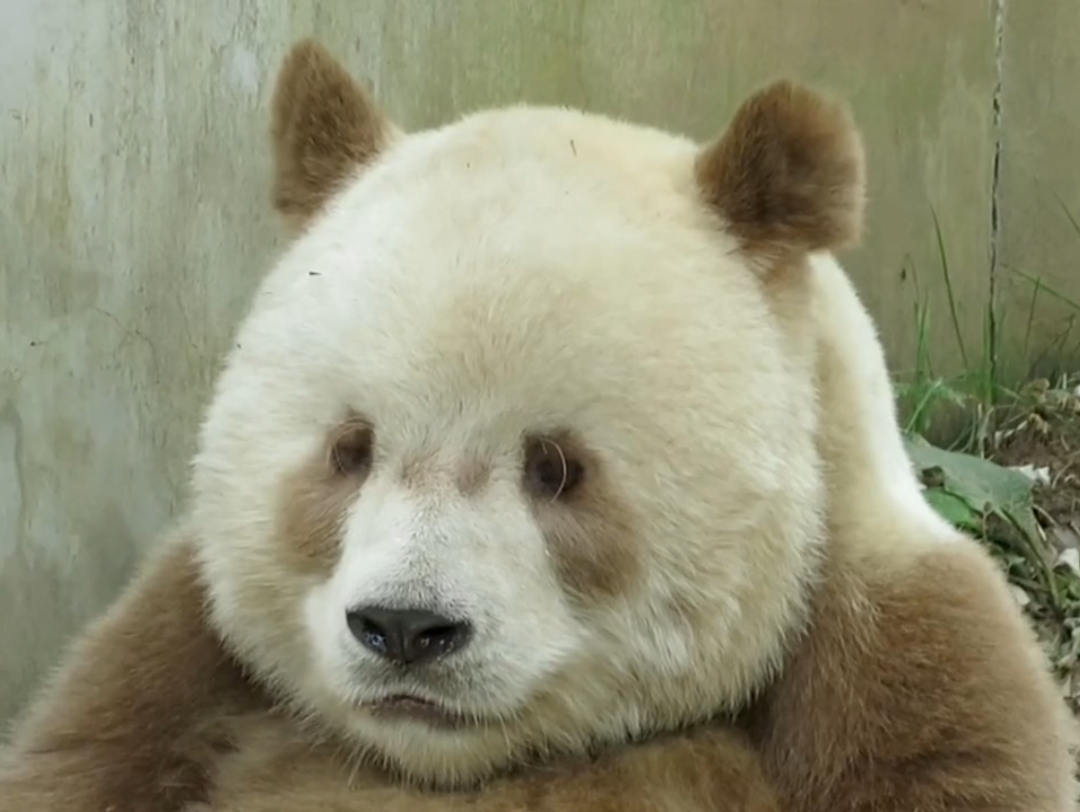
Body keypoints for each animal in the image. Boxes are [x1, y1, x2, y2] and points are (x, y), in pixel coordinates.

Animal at [0, 37, 1076, 812]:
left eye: (558, 467)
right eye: (349, 450)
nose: (405, 627)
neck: (452, 764)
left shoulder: (895, 663)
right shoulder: (171, 670)